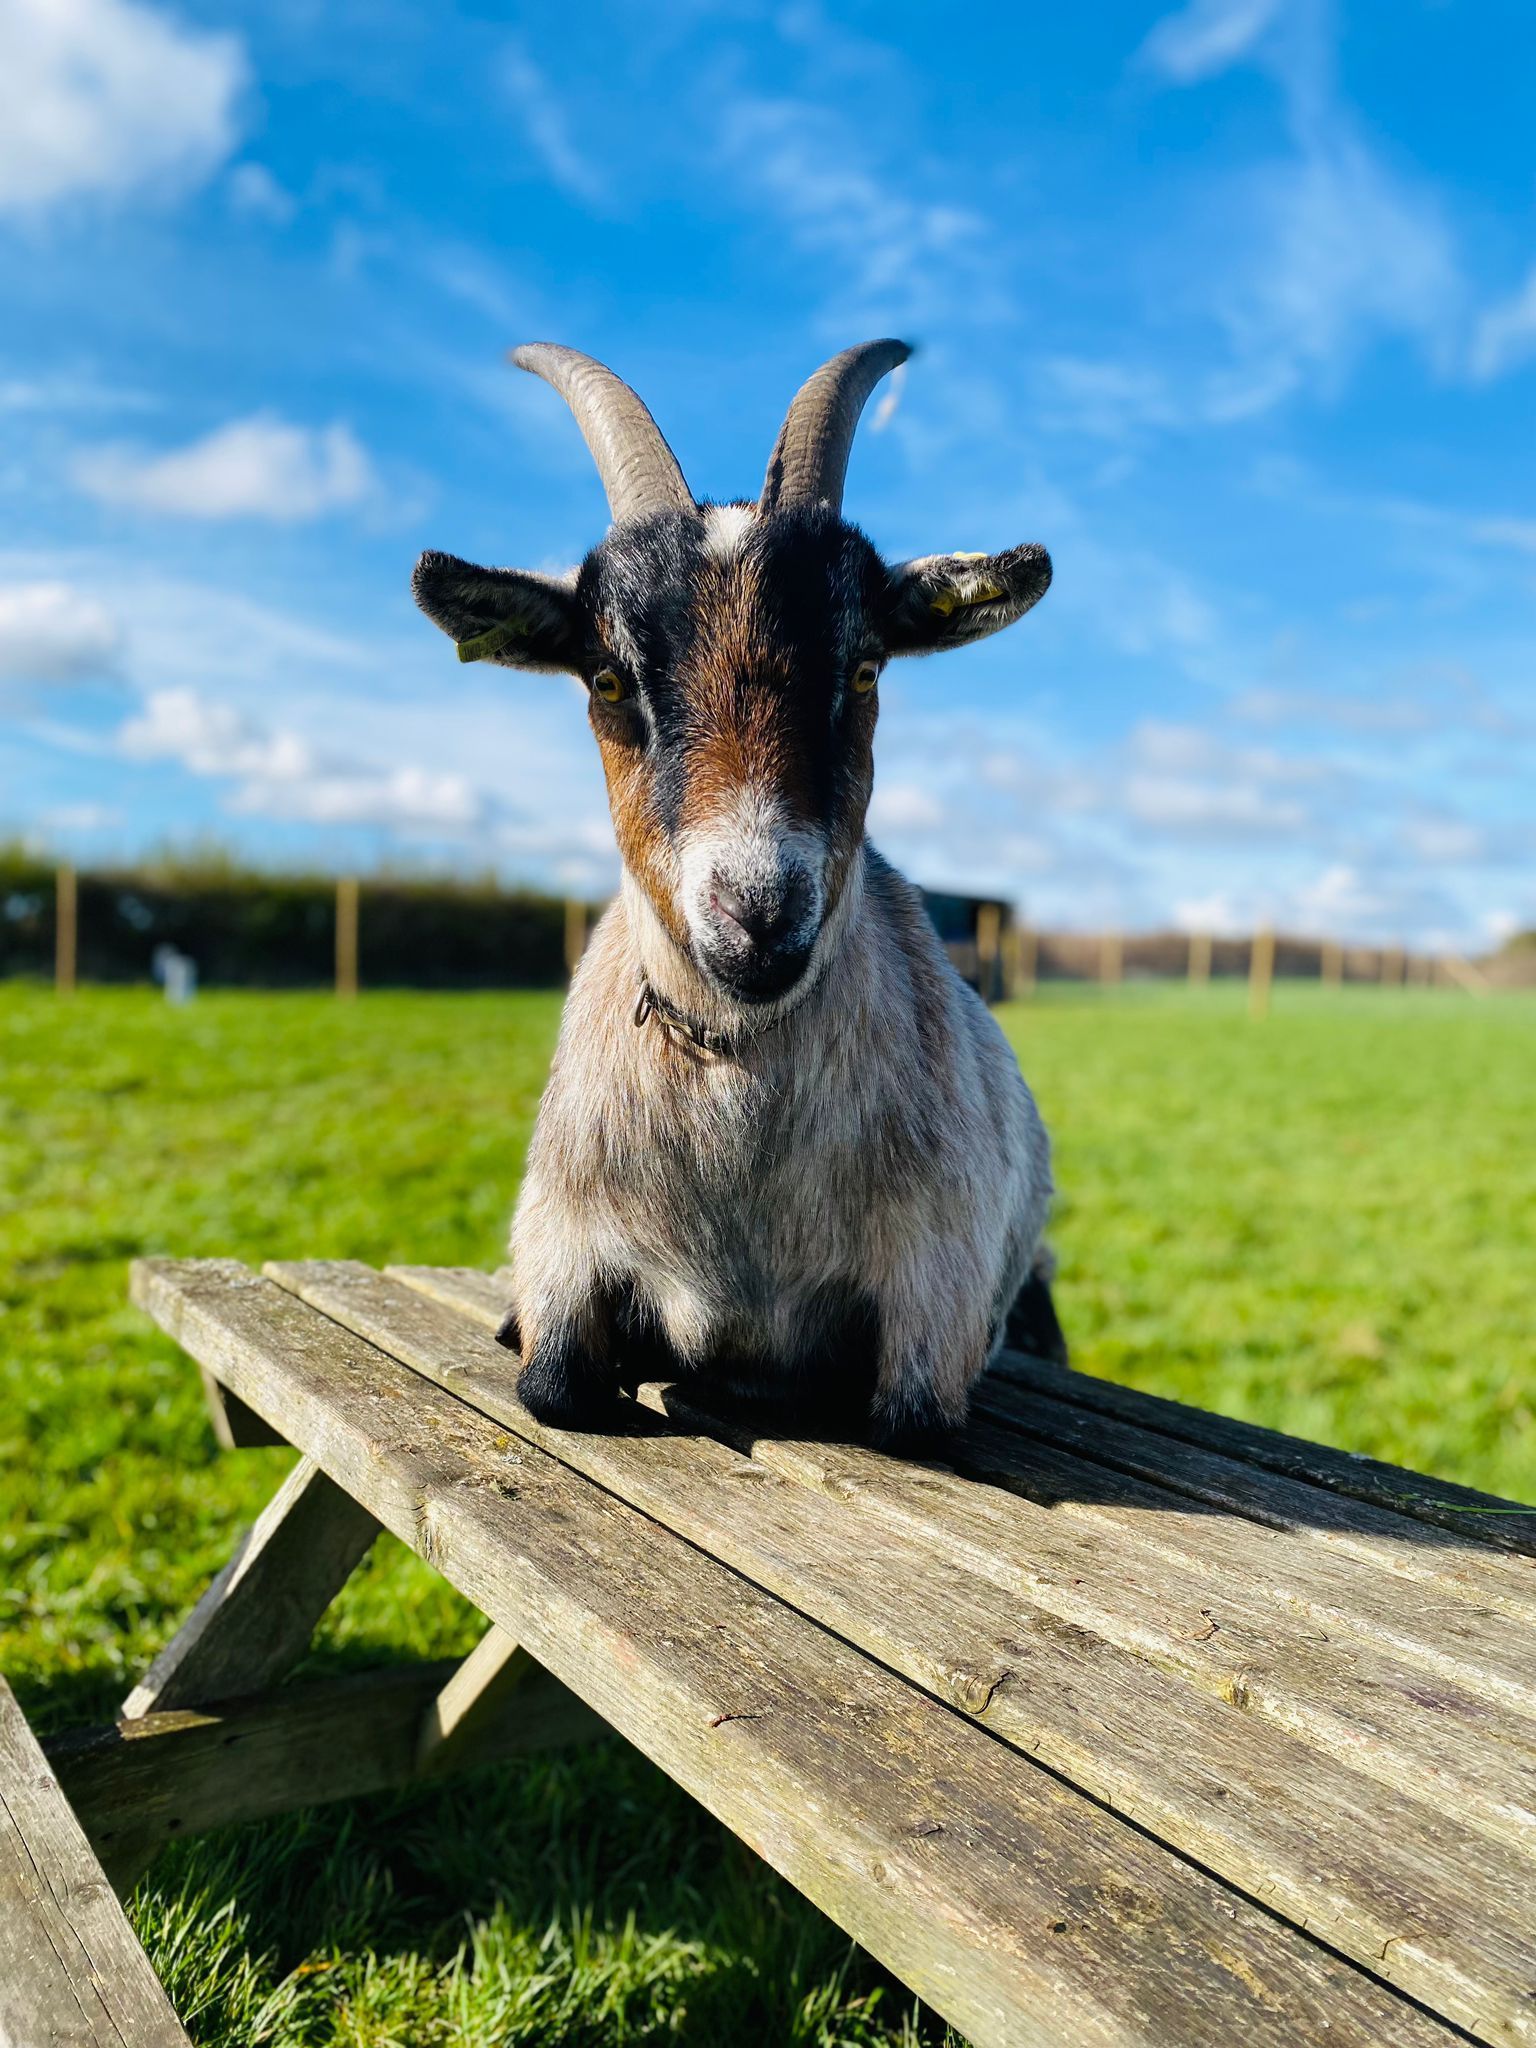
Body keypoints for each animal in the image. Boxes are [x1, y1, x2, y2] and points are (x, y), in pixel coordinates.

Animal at [414, 340, 1062, 1454]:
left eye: (865, 665)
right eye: (607, 677)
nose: (758, 917)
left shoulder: (933, 1303)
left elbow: (907, 1419)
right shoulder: (566, 1241)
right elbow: (552, 1385)